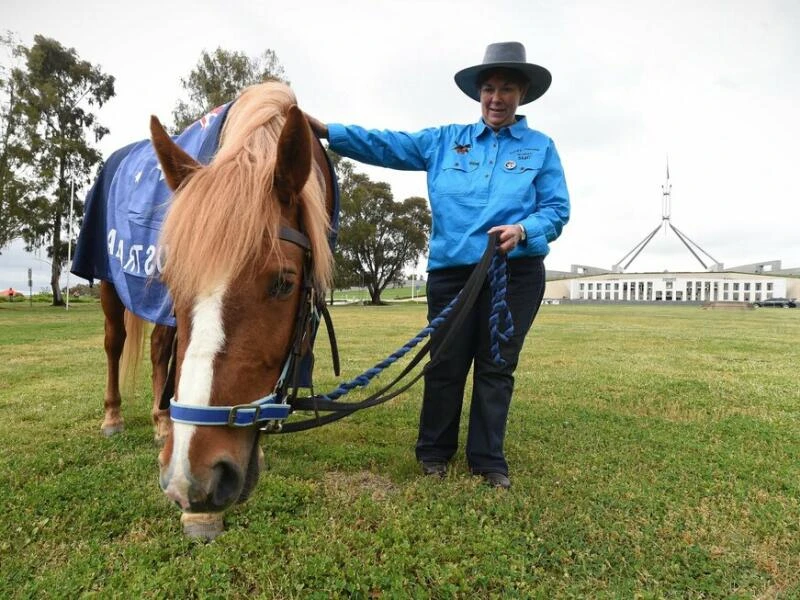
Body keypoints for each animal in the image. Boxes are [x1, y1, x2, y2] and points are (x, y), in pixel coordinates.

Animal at [90, 82, 334, 536]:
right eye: (172, 280)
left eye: (283, 283)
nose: (193, 479)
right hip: (107, 281)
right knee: (115, 343)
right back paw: (114, 417)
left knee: (159, 349)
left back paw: (160, 420)